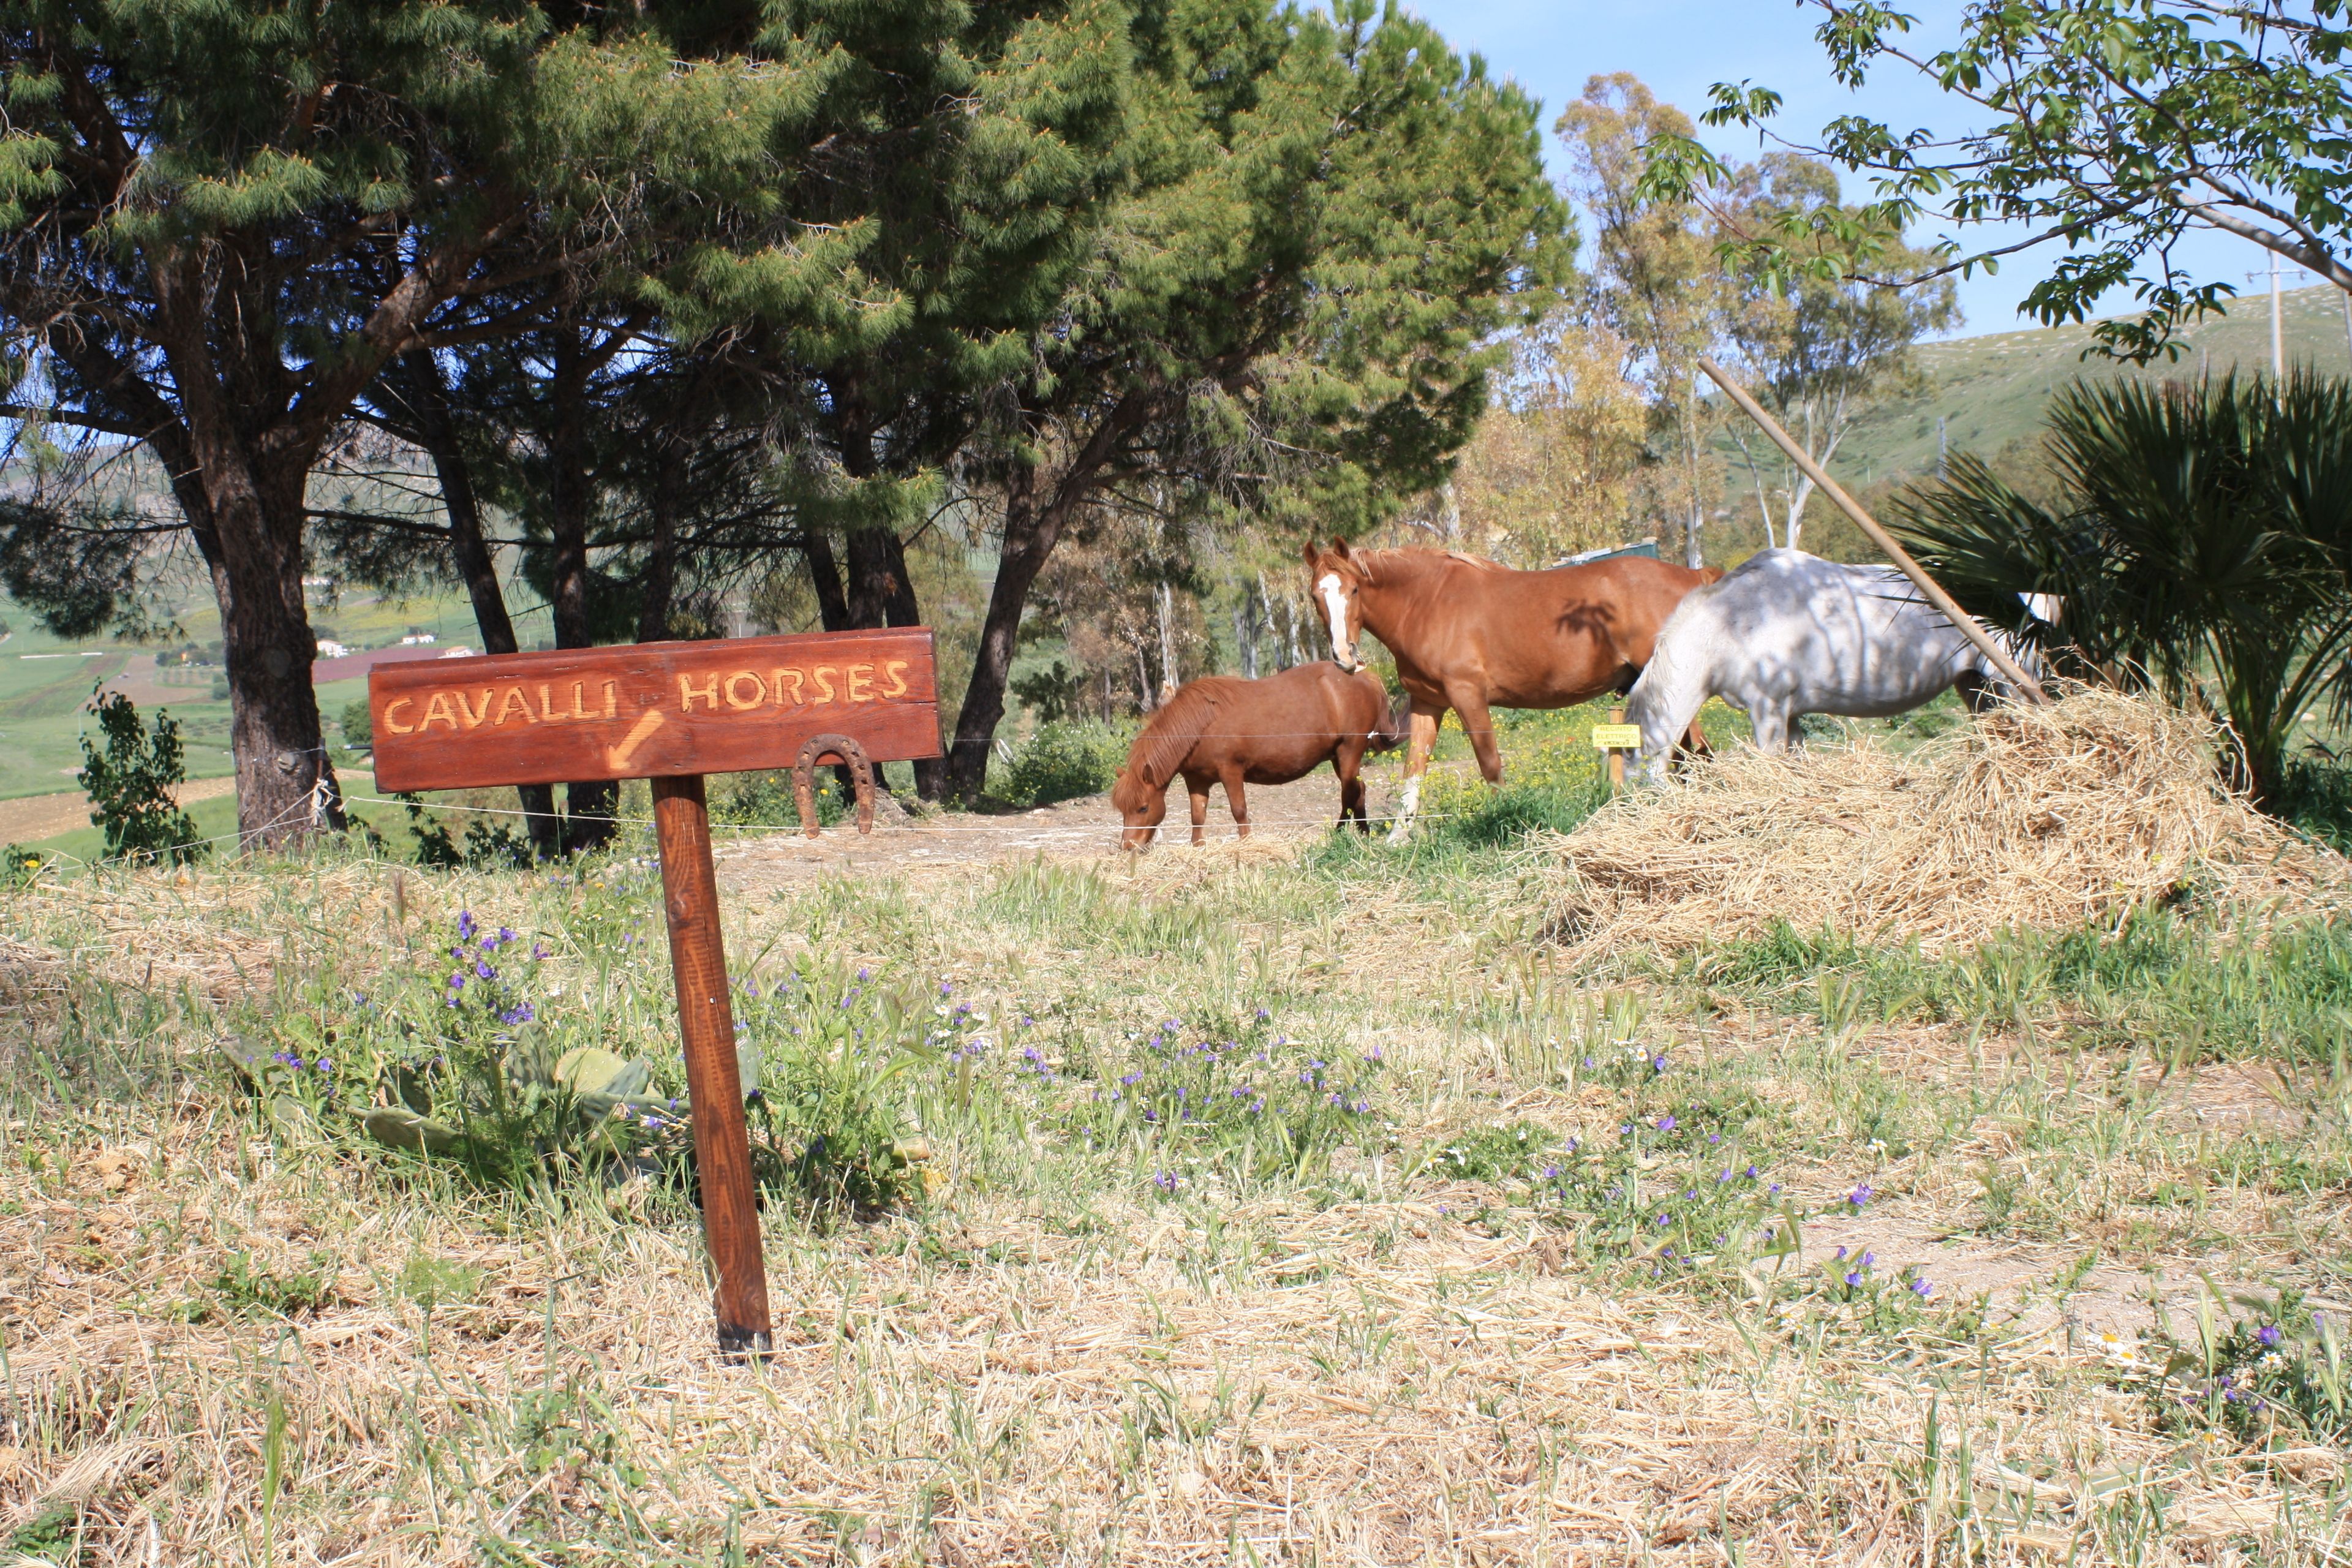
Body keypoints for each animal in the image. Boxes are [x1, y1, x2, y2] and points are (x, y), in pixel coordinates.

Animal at [1110, 662, 1403, 848]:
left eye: (1143, 807)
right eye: (1122, 809)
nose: (1128, 847)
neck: (1201, 724)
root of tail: (1365, 677)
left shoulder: (1231, 772)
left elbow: (1239, 811)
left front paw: (1247, 844)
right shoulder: (1196, 781)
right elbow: (1197, 818)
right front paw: (1198, 849)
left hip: (1349, 751)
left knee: (1349, 793)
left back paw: (1341, 834)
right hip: (1338, 757)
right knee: (1358, 791)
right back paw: (1363, 833)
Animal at [1301, 538, 1723, 838]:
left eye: (1355, 590)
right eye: (1315, 596)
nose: (1344, 656)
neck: (1428, 602)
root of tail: (1693, 577)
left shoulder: (1468, 696)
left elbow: (1489, 765)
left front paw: (1504, 822)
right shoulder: (1427, 703)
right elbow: (1414, 770)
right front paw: (1398, 838)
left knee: (1697, 753)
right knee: (1690, 754)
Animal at [1625, 548, 2051, 784]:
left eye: (1632, 757)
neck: (1733, 622)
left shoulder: (1768, 710)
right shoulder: (1790, 716)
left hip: (2012, 681)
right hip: (1975, 685)